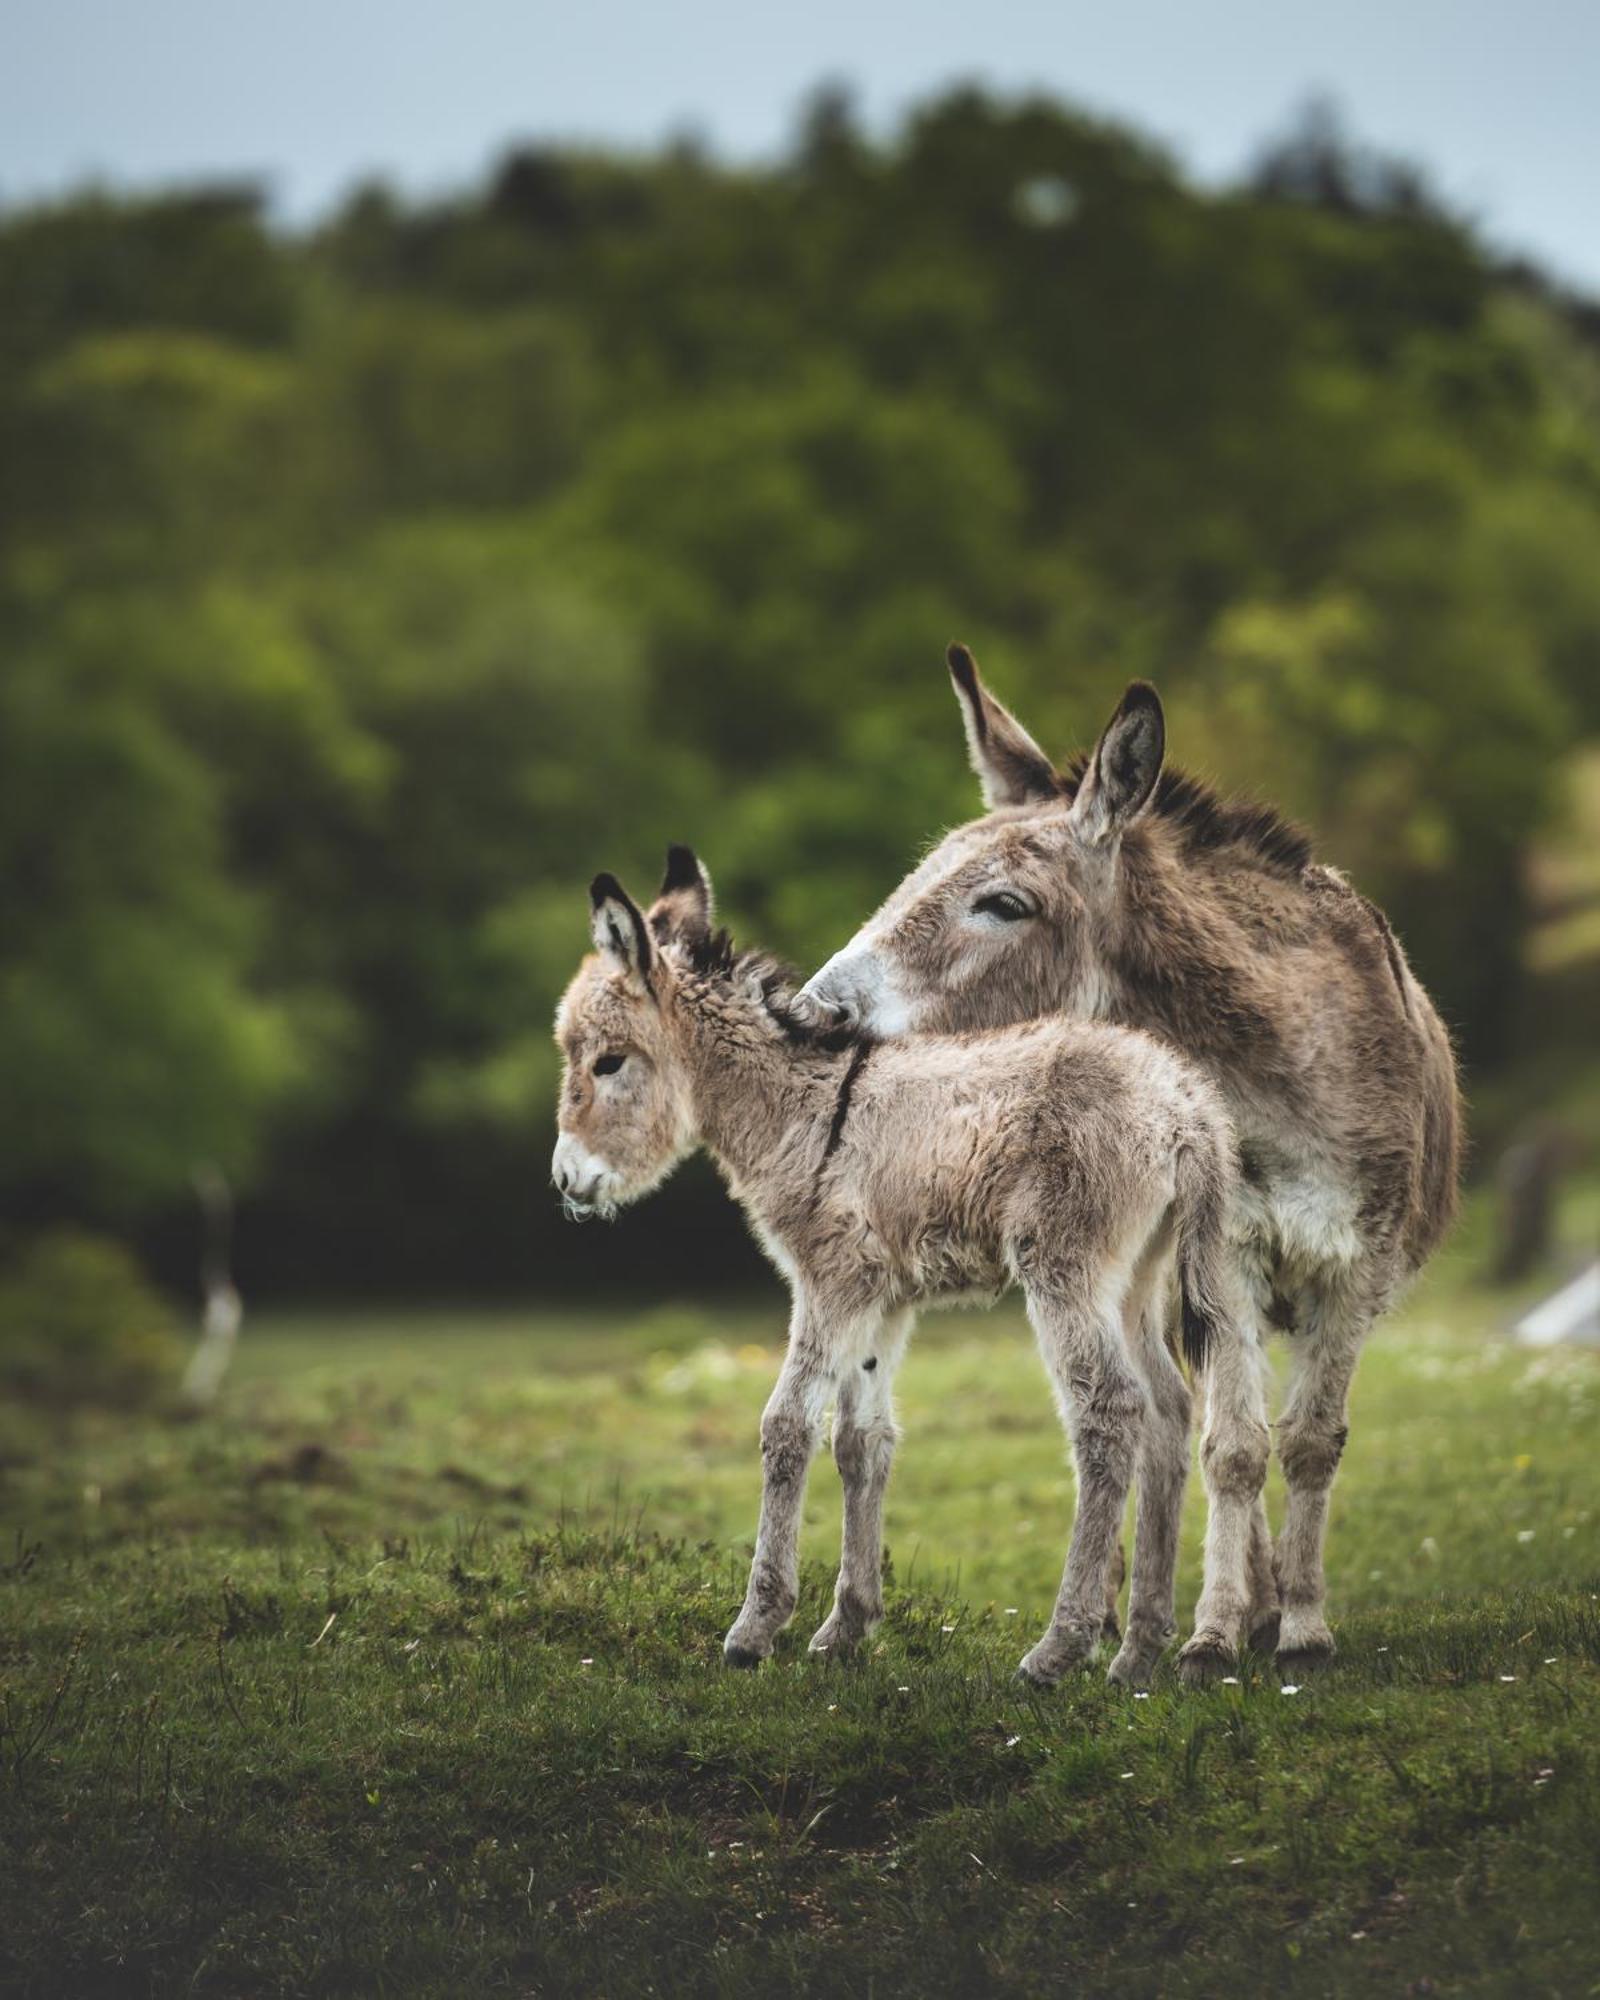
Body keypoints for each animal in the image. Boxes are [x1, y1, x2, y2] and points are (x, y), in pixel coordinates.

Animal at [556, 848, 1272, 1688]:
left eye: (608, 1063)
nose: (566, 1181)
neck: (804, 1107)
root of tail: (1185, 1106)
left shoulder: (827, 1282)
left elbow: (786, 1428)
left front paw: (756, 1628)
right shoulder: (883, 1298)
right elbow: (862, 1441)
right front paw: (846, 1626)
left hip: (1066, 1269)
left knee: (1110, 1410)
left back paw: (1059, 1648)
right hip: (1141, 1272)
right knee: (1167, 1407)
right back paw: (1138, 1651)